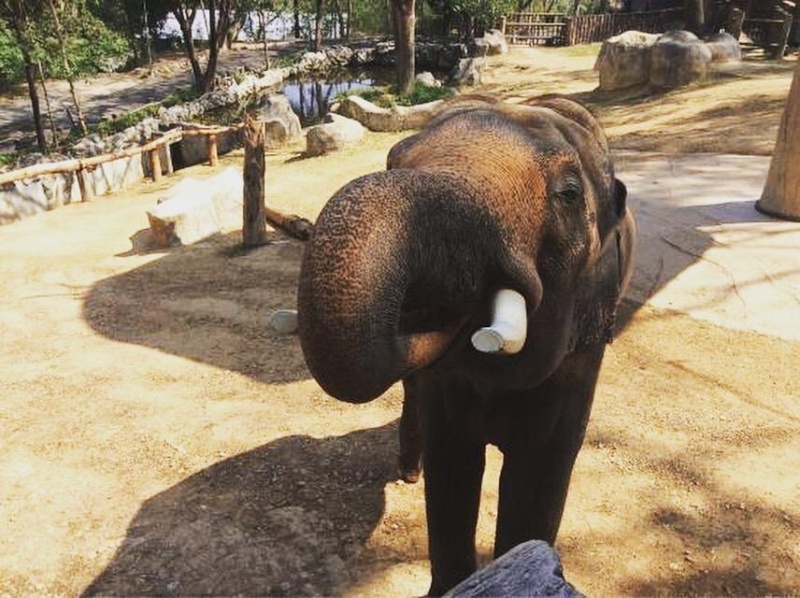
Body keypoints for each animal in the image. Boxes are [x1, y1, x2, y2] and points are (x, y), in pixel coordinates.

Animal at [296, 94, 636, 596]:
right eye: (392, 160)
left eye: (570, 194)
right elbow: (452, 463)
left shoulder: (584, 349)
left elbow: (538, 471)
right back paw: (408, 473)